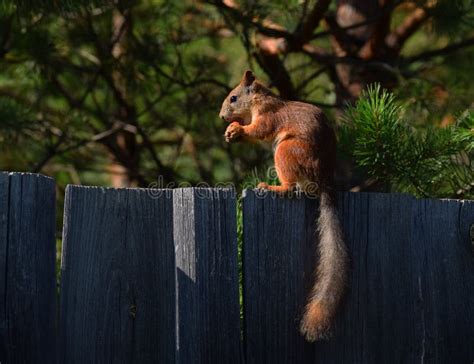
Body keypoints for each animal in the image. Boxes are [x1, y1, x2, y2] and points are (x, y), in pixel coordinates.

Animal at [218, 70, 348, 342]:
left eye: (233, 97)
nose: (222, 116)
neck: (261, 101)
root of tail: (323, 180)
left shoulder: (269, 117)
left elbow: (258, 131)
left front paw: (236, 129)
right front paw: (229, 131)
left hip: (286, 151)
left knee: (290, 187)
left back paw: (272, 187)